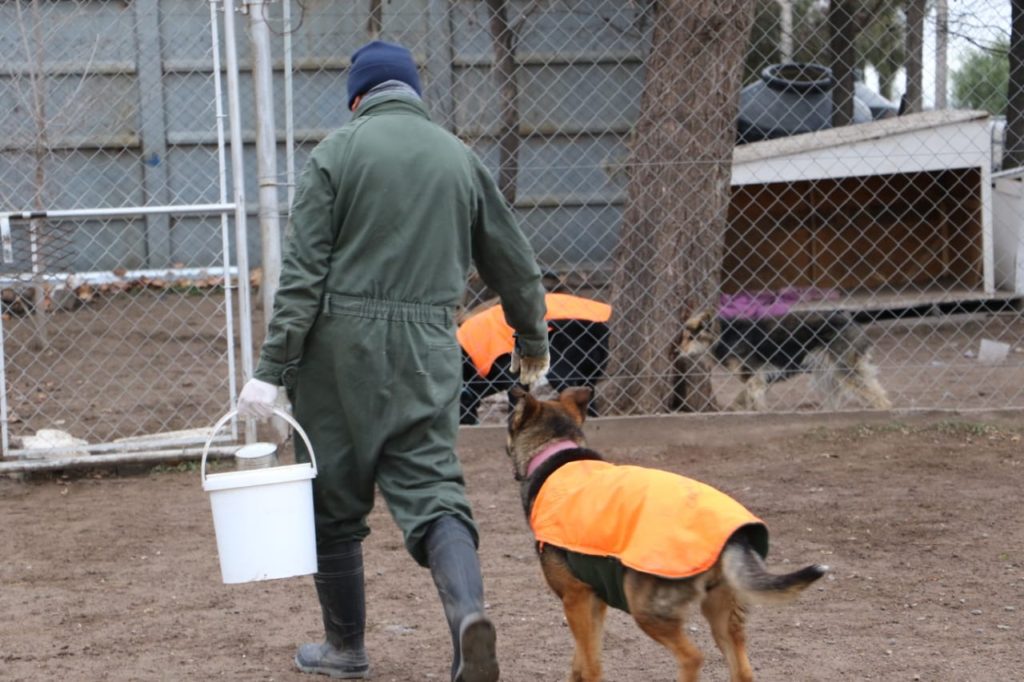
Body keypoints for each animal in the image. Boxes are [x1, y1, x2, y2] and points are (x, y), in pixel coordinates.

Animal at [507, 385, 827, 675]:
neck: (554, 451)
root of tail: (733, 538)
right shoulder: (592, 600)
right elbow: (581, 662)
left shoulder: (576, 599)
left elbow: (591, 666)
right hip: (724, 615)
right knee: (742, 669)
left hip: (647, 609)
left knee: (692, 658)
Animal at [671, 307, 888, 409]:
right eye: (683, 337)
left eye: (690, 338)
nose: (675, 352)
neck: (723, 336)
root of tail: (849, 319)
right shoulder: (758, 381)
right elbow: (741, 402)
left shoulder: (755, 380)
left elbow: (756, 406)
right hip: (826, 376)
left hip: (843, 371)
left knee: (879, 396)